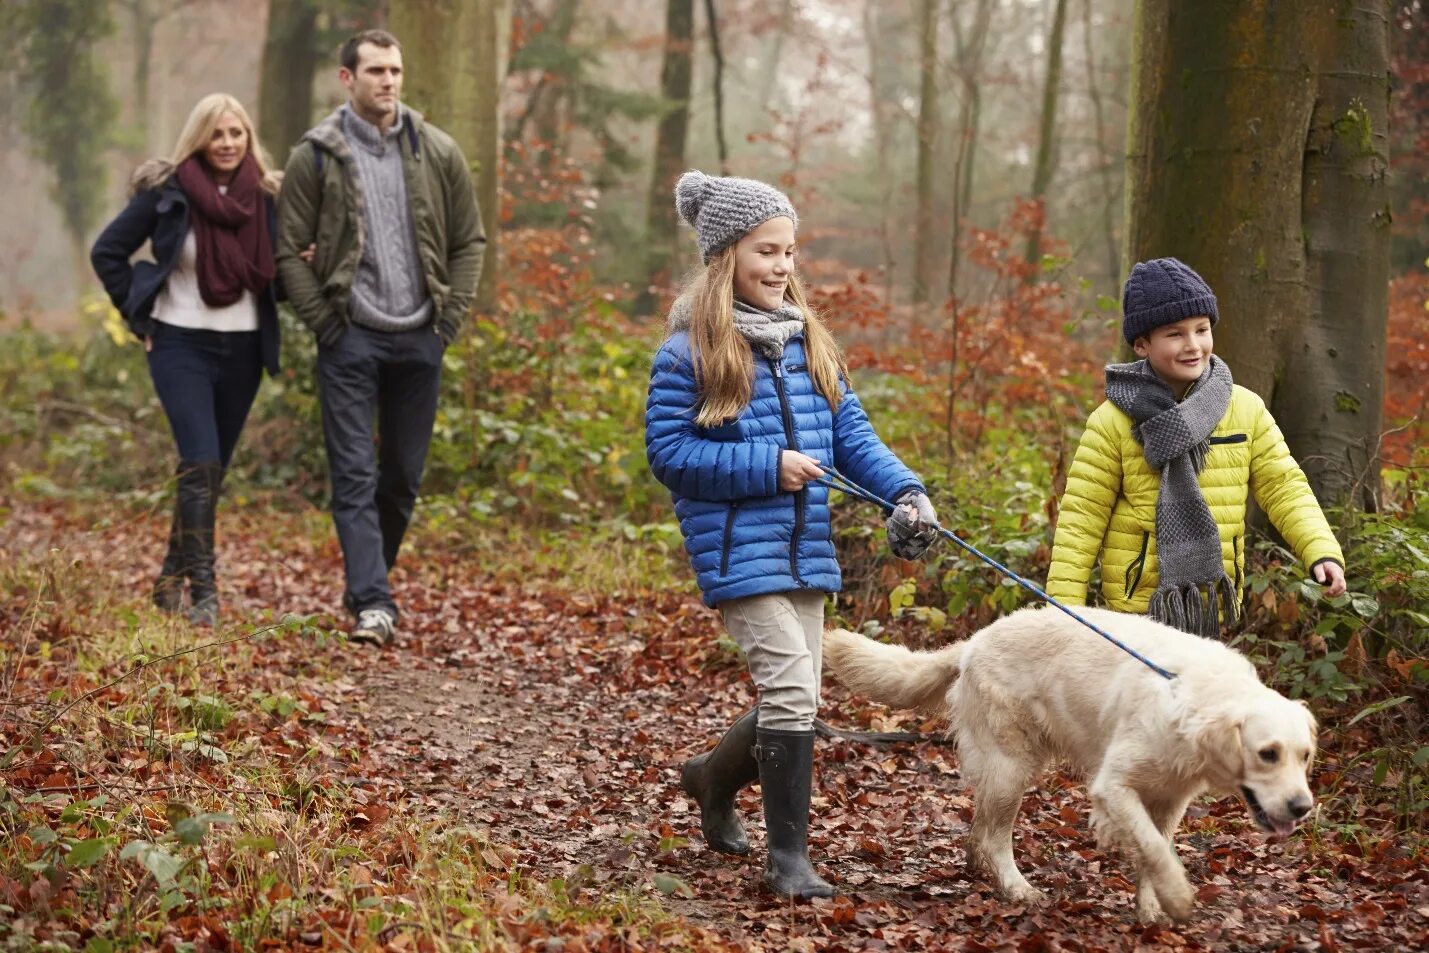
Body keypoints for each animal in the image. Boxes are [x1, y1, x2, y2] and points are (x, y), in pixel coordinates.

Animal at [828, 602, 1314, 925]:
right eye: (1268, 753)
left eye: (1305, 755)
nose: (1303, 808)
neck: (1191, 698)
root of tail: (975, 641)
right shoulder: (1113, 787)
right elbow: (1154, 849)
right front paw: (1177, 898)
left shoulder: (1169, 800)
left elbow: (1154, 851)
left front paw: (1151, 907)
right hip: (1012, 767)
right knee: (995, 837)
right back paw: (1016, 887)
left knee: (980, 831)